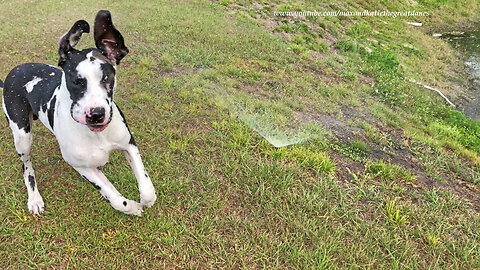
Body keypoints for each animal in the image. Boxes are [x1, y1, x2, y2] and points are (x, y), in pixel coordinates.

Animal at [0, 10, 157, 216]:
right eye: (76, 81)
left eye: (107, 77)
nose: (96, 114)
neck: (98, 135)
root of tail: (14, 71)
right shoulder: (82, 167)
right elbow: (116, 199)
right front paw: (132, 208)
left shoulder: (129, 144)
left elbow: (147, 190)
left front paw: (143, 202)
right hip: (22, 137)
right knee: (26, 167)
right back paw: (34, 198)